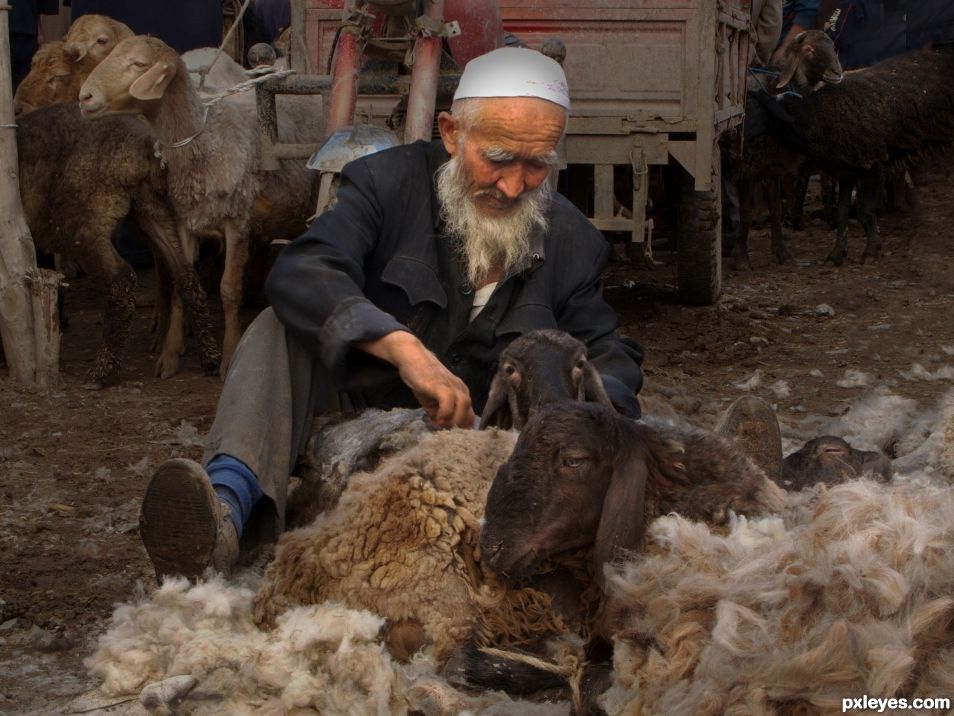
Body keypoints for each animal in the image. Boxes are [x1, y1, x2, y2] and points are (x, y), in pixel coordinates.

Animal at [79, 35, 324, 372]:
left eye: (139, 64)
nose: (84, 96)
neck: (203, 141)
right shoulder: (187, 222)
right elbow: (184, 283)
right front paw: (170, 354)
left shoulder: (237, 222)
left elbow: (228, 289)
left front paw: (229, 355)